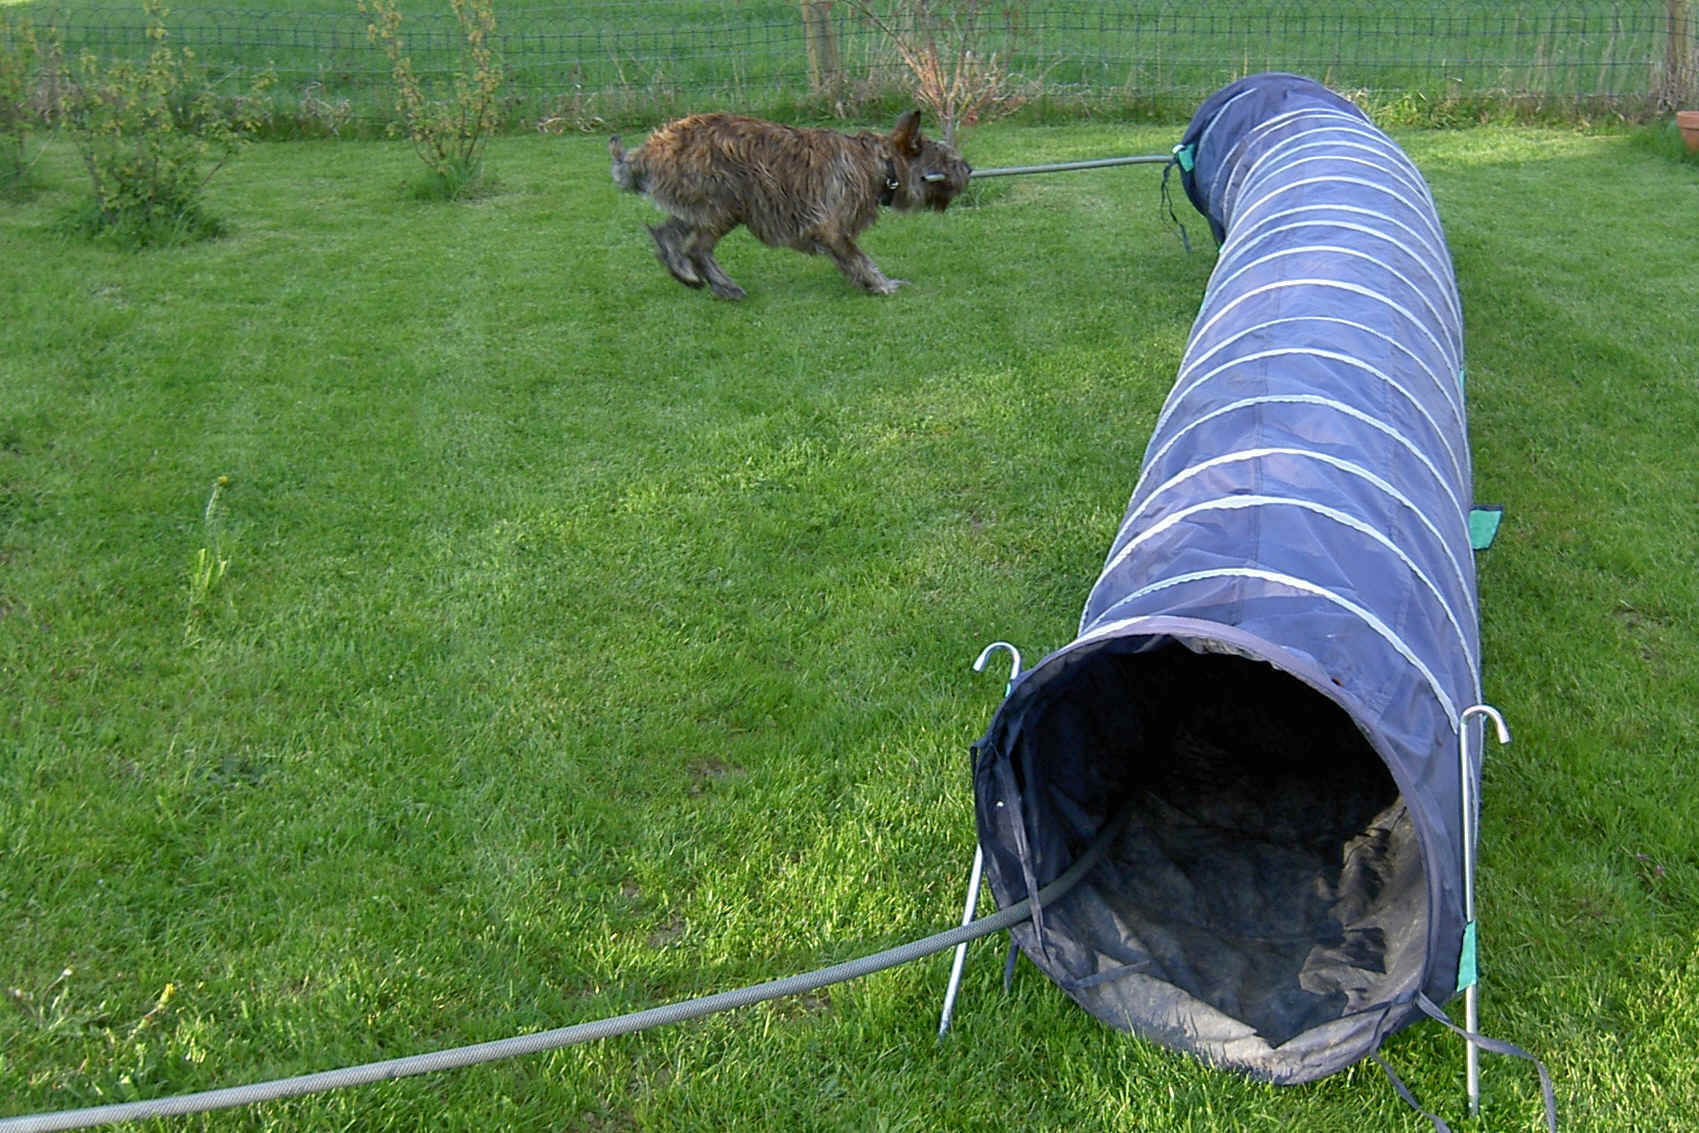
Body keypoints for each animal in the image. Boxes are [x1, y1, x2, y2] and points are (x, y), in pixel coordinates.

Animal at [611, 107, 971, 297]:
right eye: (946, 158)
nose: (968, 168)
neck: (880, 165)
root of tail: (648, 149)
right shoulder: (830, 227)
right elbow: (860, 259)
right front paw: (882, 285)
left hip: (699, 206)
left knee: (667, 235)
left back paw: (686, 274)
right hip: (725, 205)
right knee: (695, 248)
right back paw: (724, 287)